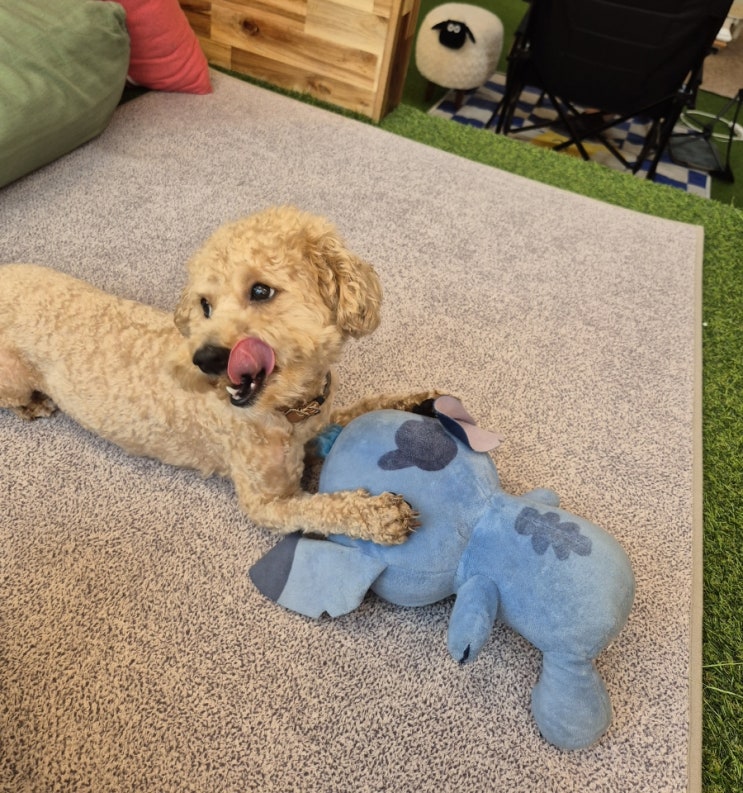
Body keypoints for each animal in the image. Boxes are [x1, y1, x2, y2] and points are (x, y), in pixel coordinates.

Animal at [0, 206, 437, 543]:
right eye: (205, 305)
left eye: (260, 291)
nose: (205, 359)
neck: (288, 411)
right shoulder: (266, 503)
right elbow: (318, 508)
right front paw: (378, 515)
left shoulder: (320, 420)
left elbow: (361, 409)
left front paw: (417, 403)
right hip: (12, 378)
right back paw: (36, 406)